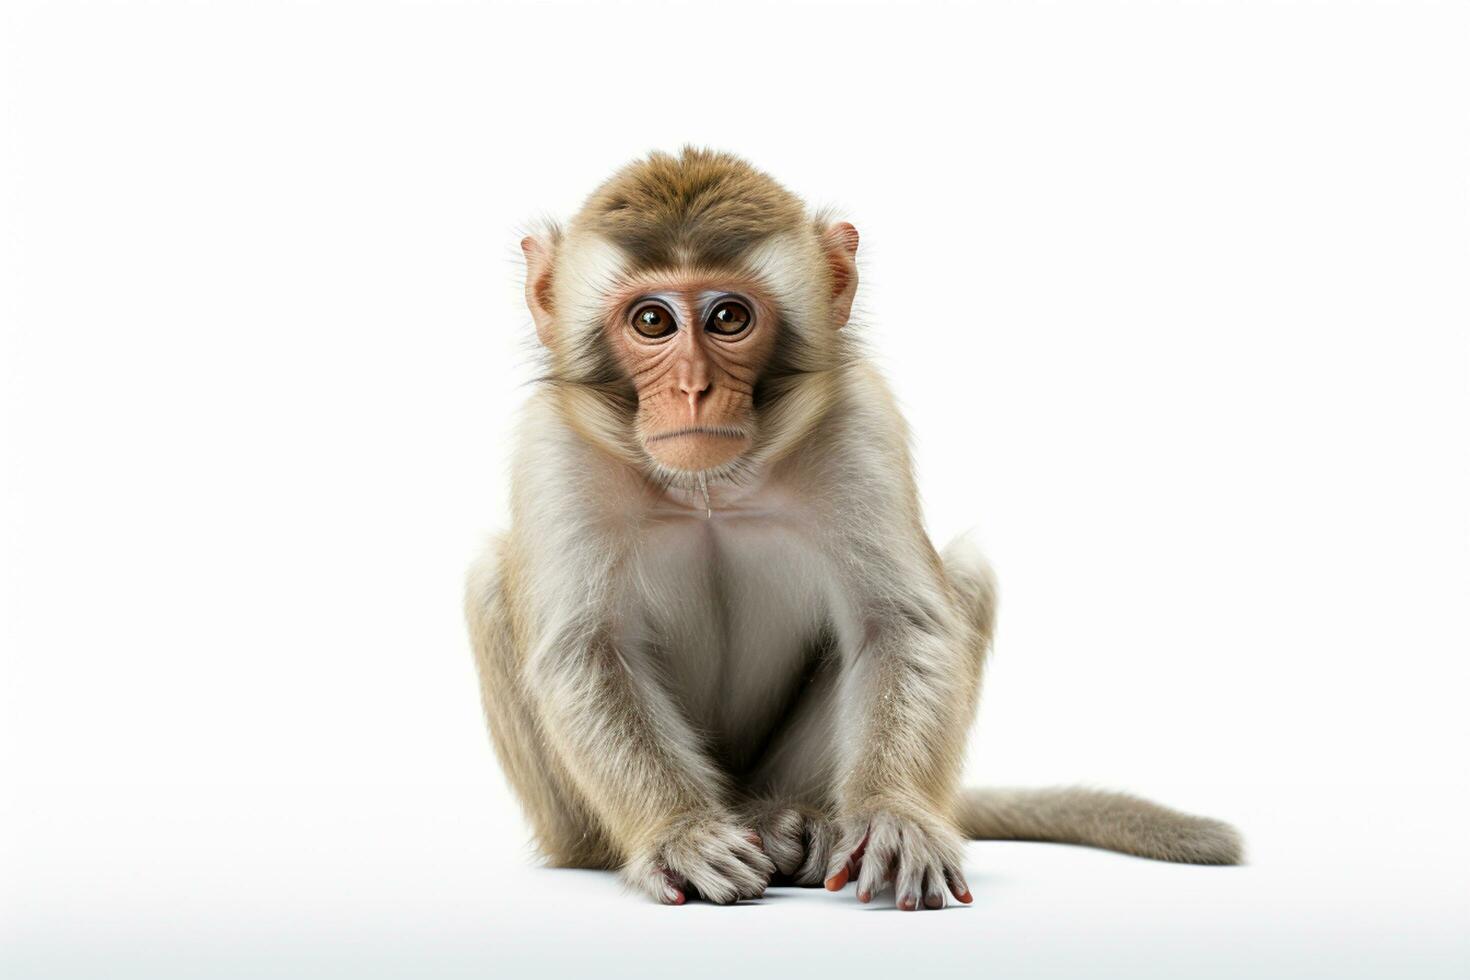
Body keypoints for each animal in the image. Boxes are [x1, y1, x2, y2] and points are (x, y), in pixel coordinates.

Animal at [461, 147, 1240, 910]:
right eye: (652, 322)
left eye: (728, 317)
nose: (692, 390)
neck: (712, 490)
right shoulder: (553, 450)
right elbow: (589, 650)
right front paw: (681, 831)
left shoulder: (860, 420)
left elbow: (897, 626)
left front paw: (894, 815)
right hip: (568, 822)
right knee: (489, 585)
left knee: (964, 577)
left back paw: (799, 823)